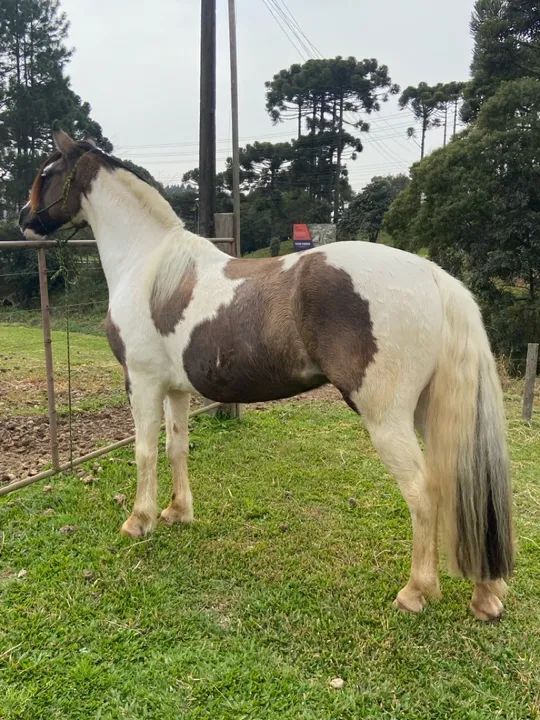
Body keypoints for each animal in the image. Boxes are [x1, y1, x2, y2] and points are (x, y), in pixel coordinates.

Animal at [20, 129, 514, 621]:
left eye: (47, 173)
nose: (24, 218)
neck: (149, 266)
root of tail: (432, 275)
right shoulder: (174, 389)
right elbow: (176, 447)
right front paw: (177, 512)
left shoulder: (141, 383)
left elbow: (144, 452)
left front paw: (139, 520)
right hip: (432, 412)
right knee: (463, 484)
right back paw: (486, 595)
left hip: (387, 418)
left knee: (423, 491)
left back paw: (416, 591)